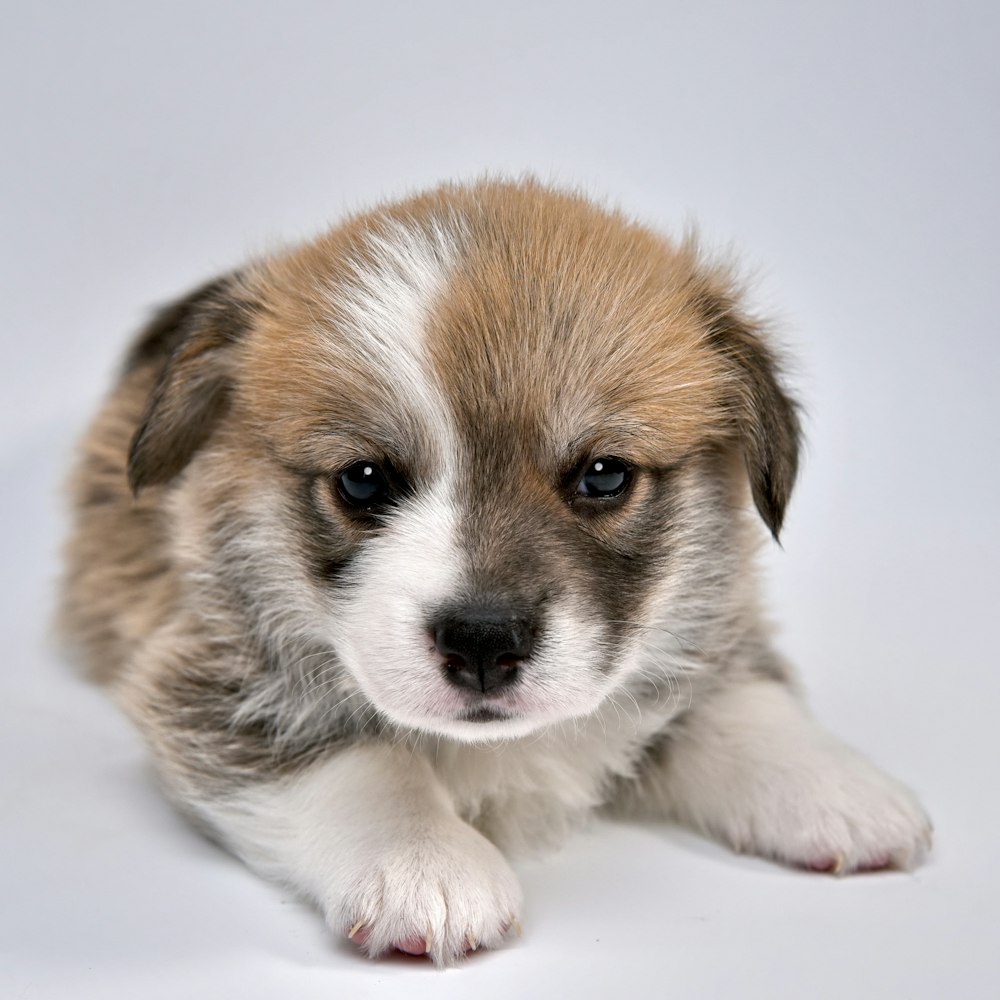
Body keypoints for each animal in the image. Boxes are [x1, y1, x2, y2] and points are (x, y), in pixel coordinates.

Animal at [62, 178, 932, 960]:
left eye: (604, 475)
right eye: (363, 481)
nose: (483, 641)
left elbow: (738, 701)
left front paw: (837, 788)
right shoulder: (205, 680)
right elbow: (356, 761)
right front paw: (424, 863)